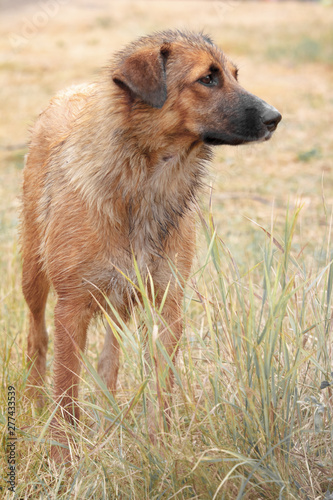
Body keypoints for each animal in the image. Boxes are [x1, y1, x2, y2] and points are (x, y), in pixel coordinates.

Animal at [20, 30, 280, 460]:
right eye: (207, 79)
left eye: (235, 75)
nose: (275, 118)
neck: (145, 183)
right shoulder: (71, 307)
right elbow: (67, 392)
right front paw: (62, 457)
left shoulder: (166, 305)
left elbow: (163, 390)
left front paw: (162, 449)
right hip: (34, 276)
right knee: (36, 339)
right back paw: (34, 404)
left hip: (119, 300)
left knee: (108, 361)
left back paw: (109, 420)